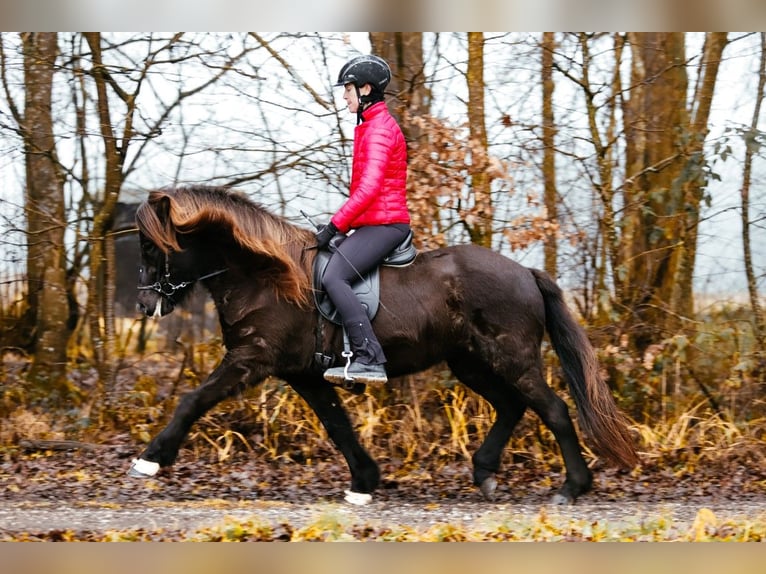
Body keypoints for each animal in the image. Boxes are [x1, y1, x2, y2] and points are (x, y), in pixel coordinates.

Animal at [128, 184, 638, 505]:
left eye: (153, 247)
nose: (144, 303)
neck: (265, 277)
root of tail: (525, 272)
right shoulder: (303, 374)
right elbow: (338, 426)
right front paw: (364, 482)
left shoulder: (251, 359)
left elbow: (193, 400)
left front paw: (150, 460)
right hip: (470, 363)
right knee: (511, 407)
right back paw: (485, 473)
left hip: (512, 358)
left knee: (553, 410)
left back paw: (571, 487)